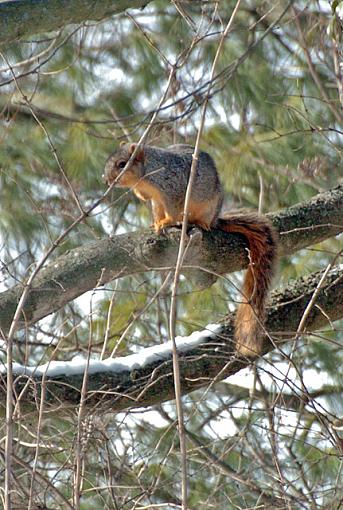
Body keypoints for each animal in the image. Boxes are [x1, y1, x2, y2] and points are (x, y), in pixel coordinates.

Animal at [103, 141, 278, 356]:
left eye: (121, 164)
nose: (107, 181)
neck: (147, 172)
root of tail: (216, 219)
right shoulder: (154, 198)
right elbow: (156, 208)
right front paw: (157, 223)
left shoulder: (172, 188)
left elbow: (171, 210)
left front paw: (167, 222)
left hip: (208, 206)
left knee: (202, 221)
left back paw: (198, 223)